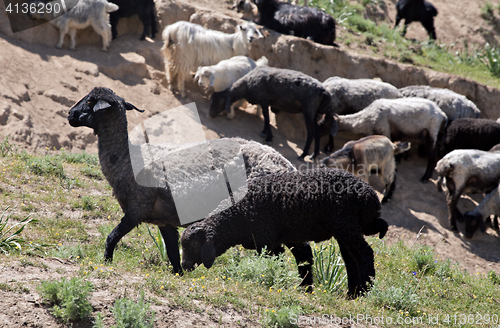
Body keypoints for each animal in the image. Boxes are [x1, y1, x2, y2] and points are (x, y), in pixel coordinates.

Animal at [182, 168, 388, 298]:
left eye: (195, 244)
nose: (183, 266)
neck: (239, 213)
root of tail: (370, 196)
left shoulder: (267, 242)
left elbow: (275, 264)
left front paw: (277, 284)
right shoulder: (290, 237)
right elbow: (304, 260)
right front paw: (306, 290)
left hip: (347, 227)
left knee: (364, 255)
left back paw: (363, 293)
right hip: (345, 230)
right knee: (351, 261)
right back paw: (351, 294)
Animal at [209, 65, 338, 160]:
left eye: (219, 101)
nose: (210, 115)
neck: (246, 85)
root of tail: (325, 92)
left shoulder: (264, 100)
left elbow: (266, 118)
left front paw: (269, 137)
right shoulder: (264, 102)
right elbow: (266, 119)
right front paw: (264, 133)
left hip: (308, 110)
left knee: (311, 133)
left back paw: (303, 154)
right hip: (315, 113)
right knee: (317, 131)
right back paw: (314, 155)